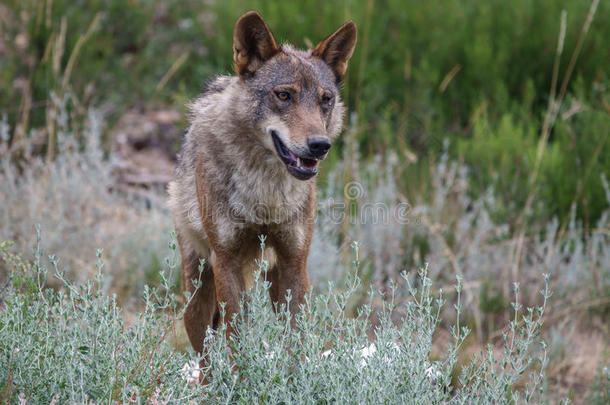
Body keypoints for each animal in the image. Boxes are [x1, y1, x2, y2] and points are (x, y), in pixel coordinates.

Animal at [166, 10, 356, 354]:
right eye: (284, 95)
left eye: (326, 99)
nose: (320, 145)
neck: (266, 195)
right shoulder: (226, 261)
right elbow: (238, 343)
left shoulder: (295, 262)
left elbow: (295, 345)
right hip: (197, 296)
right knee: (206, 357)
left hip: (271, 276)